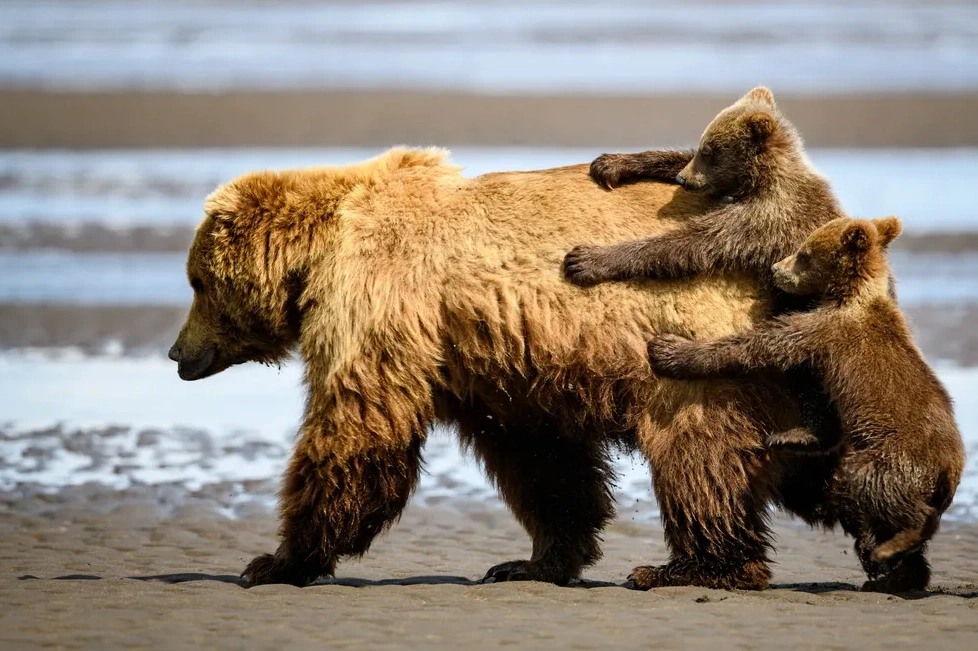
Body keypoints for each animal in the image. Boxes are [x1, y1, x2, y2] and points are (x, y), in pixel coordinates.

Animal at [169, 146, 823, 590]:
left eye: (196, 281)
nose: (177, 353)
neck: (320, 251)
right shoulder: (498, 367)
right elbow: (542, 460)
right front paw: (533, 560)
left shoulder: (378, 301)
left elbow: (356, 427)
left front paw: (276, 560)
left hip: (694, 344)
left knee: (698, 454)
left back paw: (698, 565)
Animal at [645, 216, 966, 593]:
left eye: (804, 254)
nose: (775, 268)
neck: (851, 295)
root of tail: (951, 468)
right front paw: (788, 437)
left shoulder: (822, 329)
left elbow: (758, 347)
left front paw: (668, 350)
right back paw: (895, 574)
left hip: (892, 459)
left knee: (867, 486)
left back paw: (894, 545)